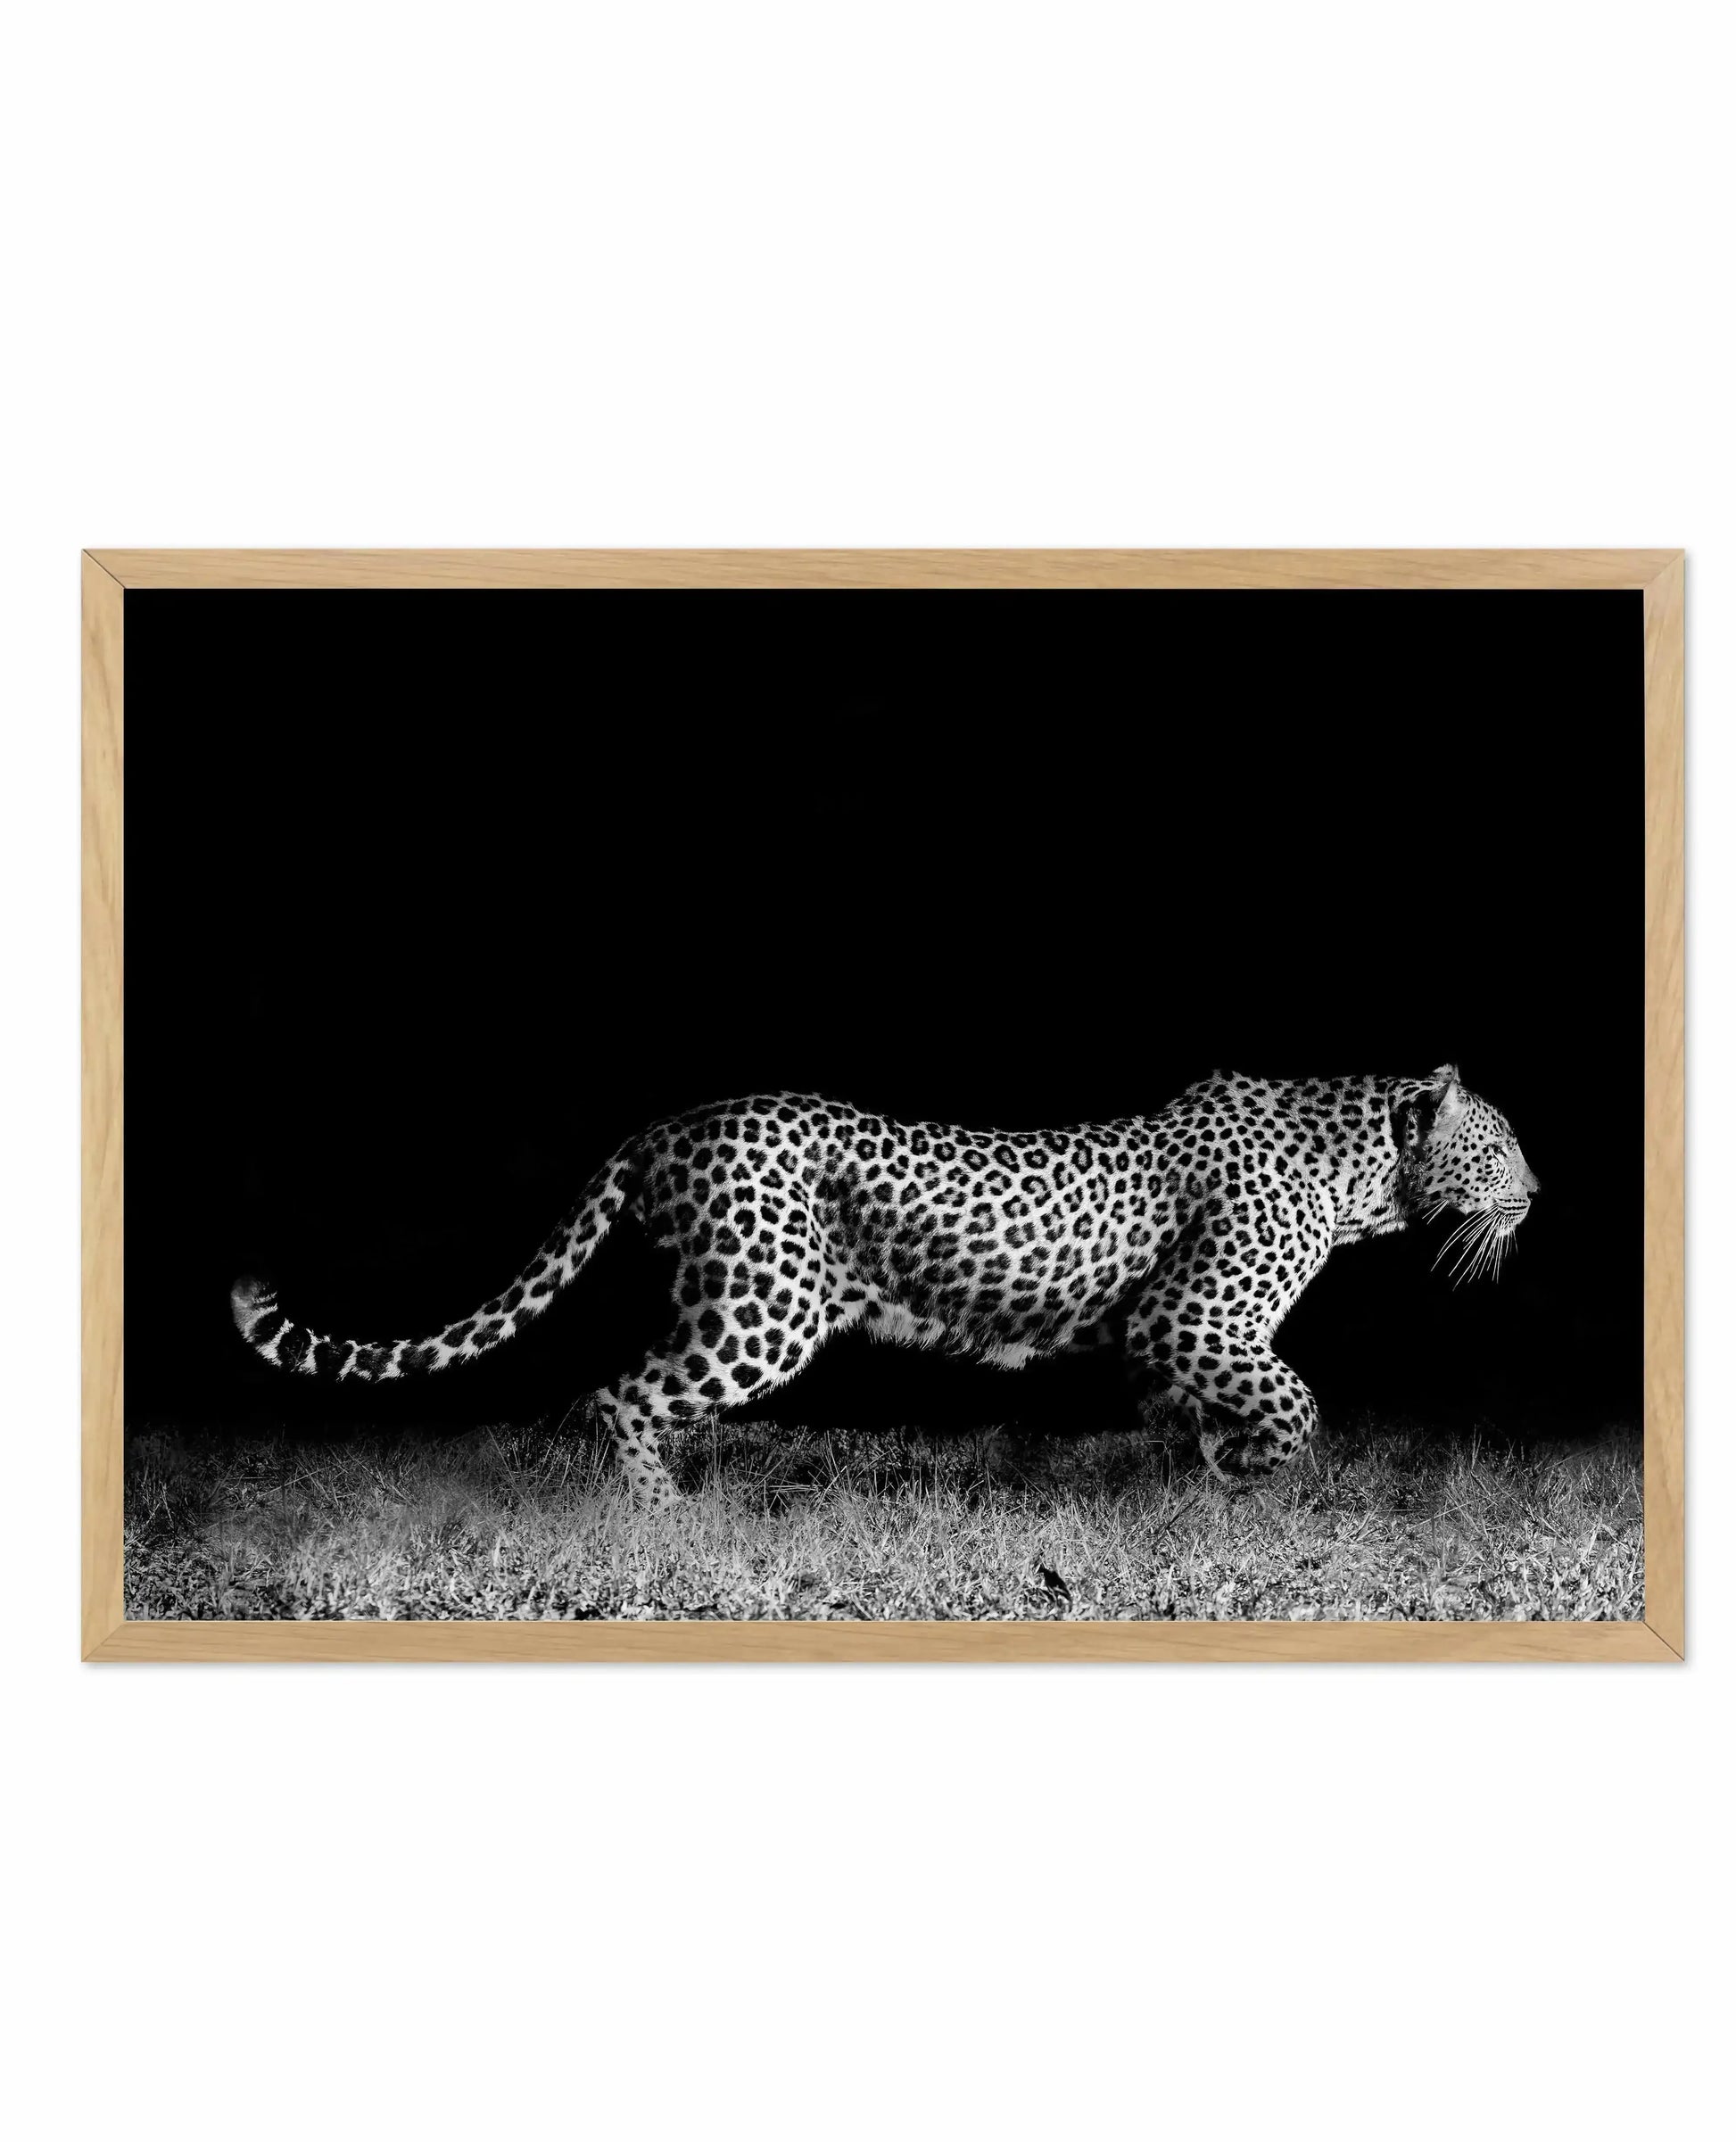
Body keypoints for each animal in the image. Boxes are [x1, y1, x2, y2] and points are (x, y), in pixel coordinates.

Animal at [231, 1063, 1538, 1508]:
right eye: (1500, 1146)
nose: (1538, 1188)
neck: (1361, 1173)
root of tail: (666, 1123)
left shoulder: (1159, 1340)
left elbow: (1193, 1413)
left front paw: (1204, 1473)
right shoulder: (1192, 1317)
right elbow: (1294, 1400)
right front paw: (1253, 1468)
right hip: (763, 1308)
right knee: (619, 1394)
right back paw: (664, 1517)